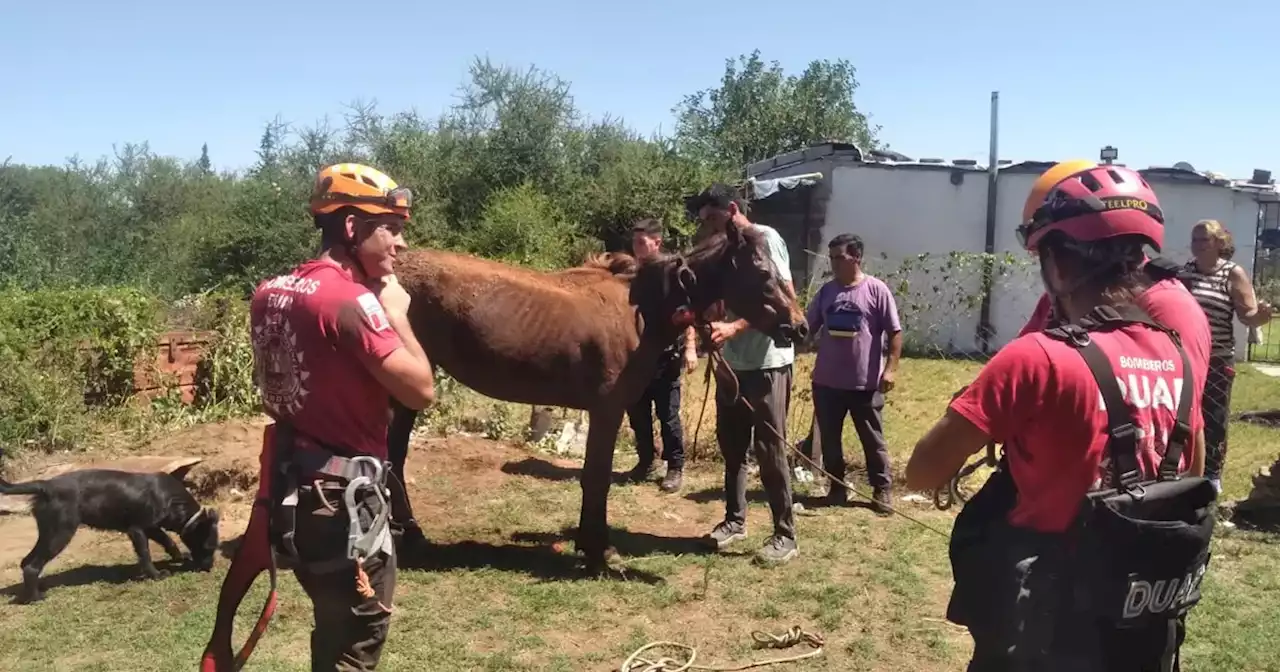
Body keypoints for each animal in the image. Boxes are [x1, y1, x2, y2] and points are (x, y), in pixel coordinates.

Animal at [0, 465, 218, 601]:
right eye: (208, 547)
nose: (209, 568)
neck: (171, 499)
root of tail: (46, 486)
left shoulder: (152, 527)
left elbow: (168, 540)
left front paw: (179, 556)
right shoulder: (137, 529)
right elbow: (145, 554)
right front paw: (156, 575)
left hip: (49, 533)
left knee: (26, 562)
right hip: (60, 533)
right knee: (31, 565)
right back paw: (36, 598)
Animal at [391, 222, 808, 568]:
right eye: (762, 273)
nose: (800, 327)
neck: (641, 311)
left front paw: (589, 544)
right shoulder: (607, 410)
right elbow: (597, 477)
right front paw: (599, 551)